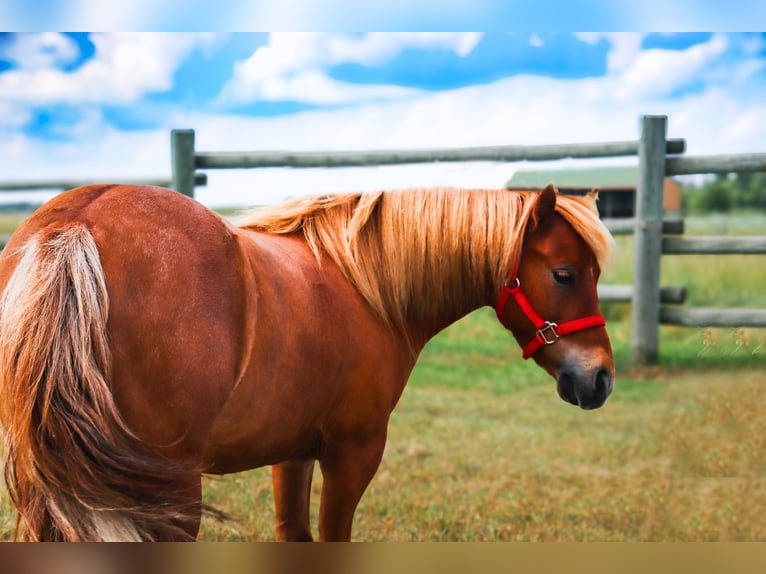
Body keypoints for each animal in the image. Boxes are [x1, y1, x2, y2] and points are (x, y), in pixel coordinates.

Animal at [0, 186, 612, 544]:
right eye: (564, 274)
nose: (601, 378)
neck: (367, 287)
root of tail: (75, 226)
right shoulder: (354, 452)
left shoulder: (290, 452)